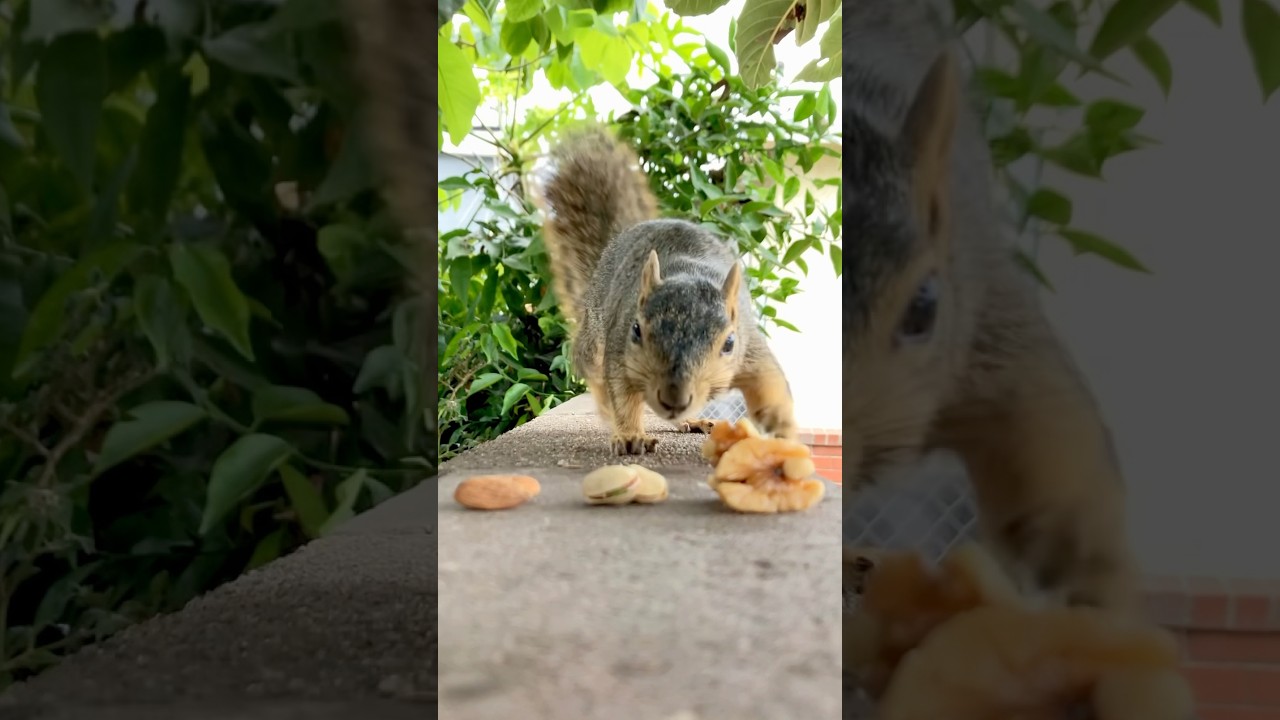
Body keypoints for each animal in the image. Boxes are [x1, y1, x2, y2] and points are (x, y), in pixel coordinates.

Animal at [530, 127, 799, 455]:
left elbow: (770, 386)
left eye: (729, 343)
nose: (674, 399)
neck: (688, 272)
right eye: (636, 330)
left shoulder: (751, 349)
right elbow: (623, 397)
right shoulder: (618, 352)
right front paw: (630, 435)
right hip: (595, 341)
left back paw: (693, 419)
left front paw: (784, 431)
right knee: (595, 376)